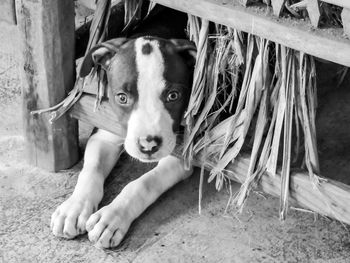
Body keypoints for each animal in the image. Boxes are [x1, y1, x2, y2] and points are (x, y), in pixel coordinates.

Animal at [50, 5, 197, 251]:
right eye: (121, 97)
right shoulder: (105, 133)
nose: (148, 145)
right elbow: (90, 170)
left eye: (173, 96)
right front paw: (74, 207)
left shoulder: (181, 155)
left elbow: (143, 183)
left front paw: (112, 217)